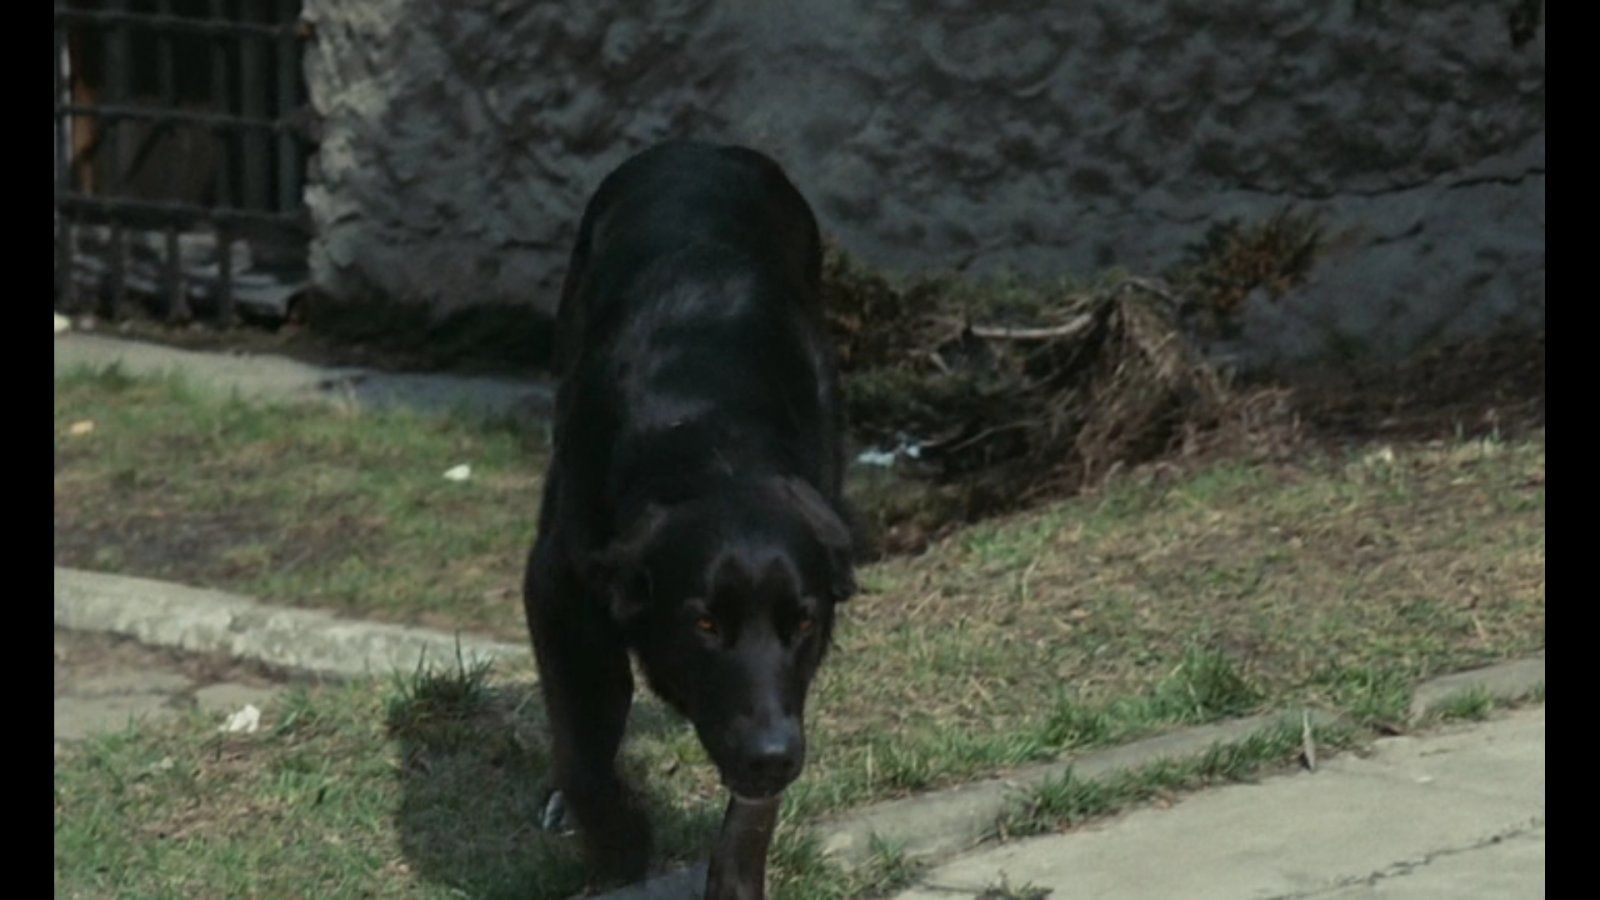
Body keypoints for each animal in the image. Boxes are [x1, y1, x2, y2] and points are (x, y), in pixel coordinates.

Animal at [524, 140, 857, 883]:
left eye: (802, 623)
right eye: (704, 624)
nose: (772, 755)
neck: (711, 447)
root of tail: (699, 147)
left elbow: (752, 814)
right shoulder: (559, 586)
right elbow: (584, 747)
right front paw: (619, 856)